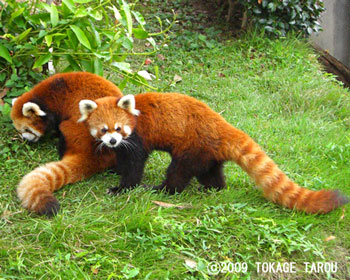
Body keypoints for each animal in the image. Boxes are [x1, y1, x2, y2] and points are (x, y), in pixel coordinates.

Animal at [10, 71, 123, 215]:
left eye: (27, 129)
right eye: (20, 130)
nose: (25, 139)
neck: (47, 97)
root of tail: (95, 154)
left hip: (73, 130)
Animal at [78, 93, 348, 213]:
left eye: (118, 128)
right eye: (103, 130)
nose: (113, 140)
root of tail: (222, 125)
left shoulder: (138, 137)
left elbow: (135, 166)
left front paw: (122, 188)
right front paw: (115, 170)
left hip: (192, 147)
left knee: (179, 172)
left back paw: (162, 190)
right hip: (207, 153)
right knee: (211, 173)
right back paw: (212, 188)